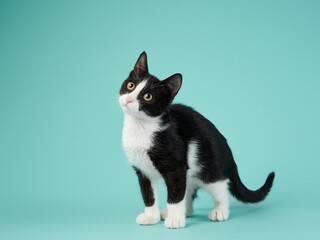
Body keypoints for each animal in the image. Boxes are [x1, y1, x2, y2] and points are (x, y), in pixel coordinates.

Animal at [119, 52, 274, 229]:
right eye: (131, 85)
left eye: (147, 96)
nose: (128, 100)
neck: (141, 127)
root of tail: (229, 154)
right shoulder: (143, 171)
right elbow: (148, 194)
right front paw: (151, 217)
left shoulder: (176, 168)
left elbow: (175, 195)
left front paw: (175, 220)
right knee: (187, 193)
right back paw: (176, 212)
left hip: (210, 170)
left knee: (221, 190)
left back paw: (219, 211)